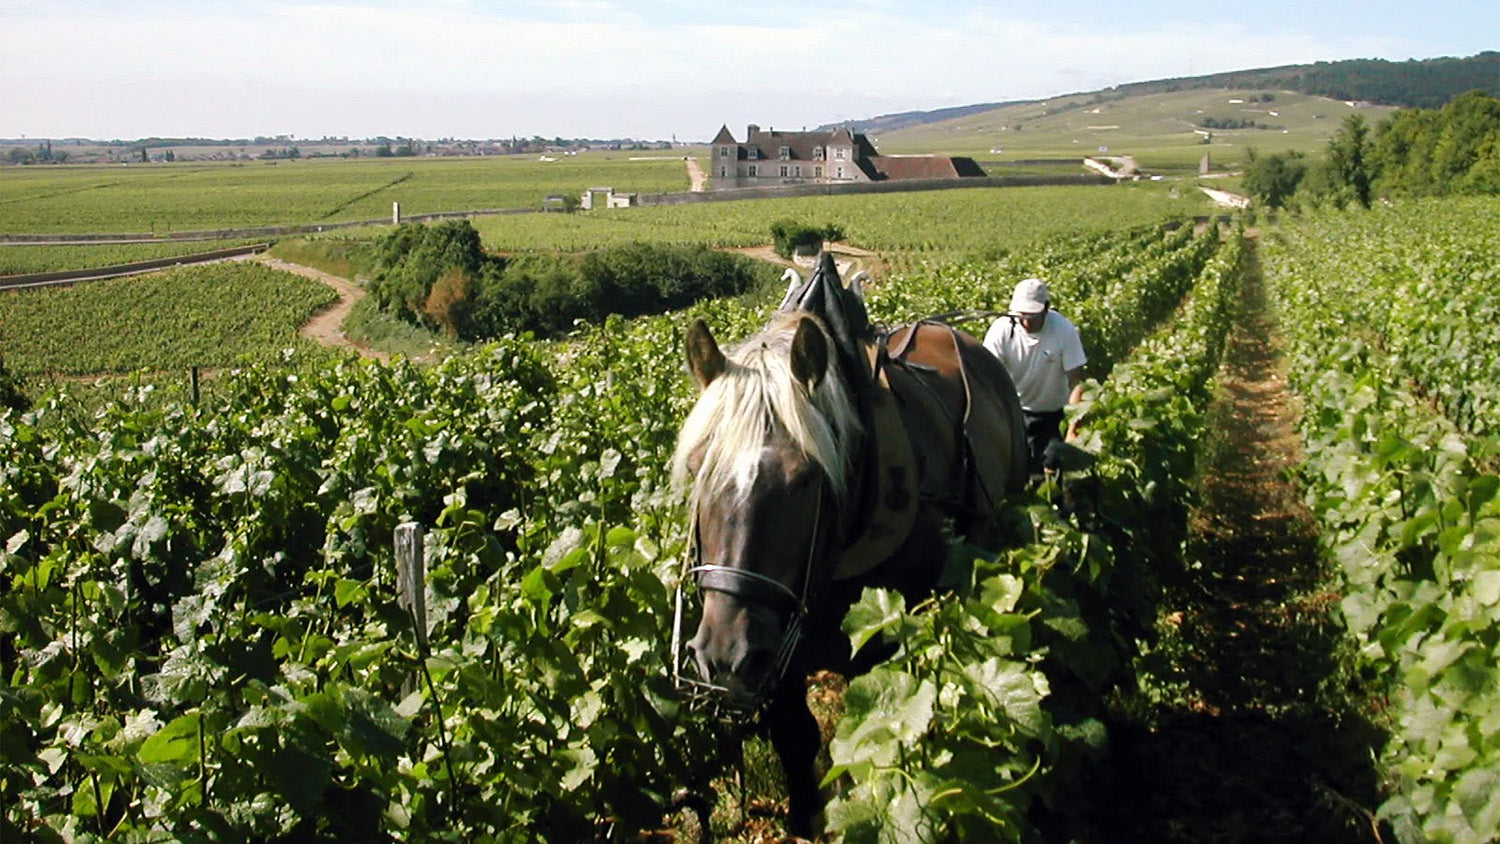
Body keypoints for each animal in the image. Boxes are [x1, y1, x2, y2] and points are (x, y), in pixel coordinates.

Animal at [672, 256, 1032, 839]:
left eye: (805, 480)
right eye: (698, 467)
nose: (724, 658)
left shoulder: (880, 641)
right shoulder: (778, 649)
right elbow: (797, 743)